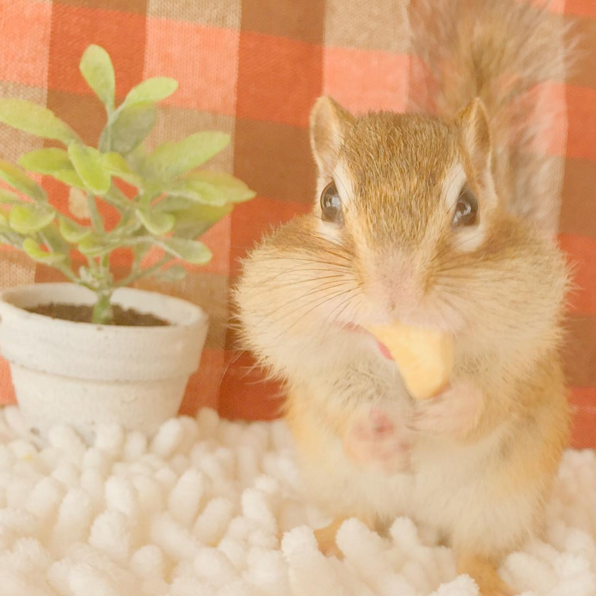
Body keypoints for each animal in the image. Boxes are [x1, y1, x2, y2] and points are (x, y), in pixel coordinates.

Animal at [235, 1, 573, 594]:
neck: (397, 370)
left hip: (502, 504)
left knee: (473, 551)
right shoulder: (312, 368)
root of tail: (420, 517)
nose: (396, 288)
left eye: (468, 208)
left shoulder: (527, 359)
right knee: (357, 518)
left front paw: (454, 408)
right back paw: (308, 540)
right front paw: (372, 436)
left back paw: (487, 579)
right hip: (341, 483)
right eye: (328, 201)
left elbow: (494, 401)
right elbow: (335, 409)